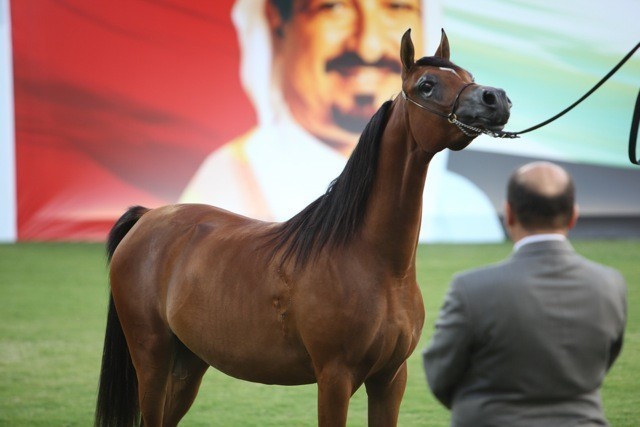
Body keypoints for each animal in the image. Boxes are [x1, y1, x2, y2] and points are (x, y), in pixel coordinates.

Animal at [95, 29, 511, 427]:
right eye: (427, 84)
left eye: (467, 76)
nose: (497, 99)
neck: (376, 264)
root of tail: (148, 217)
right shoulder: (334, 378)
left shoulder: (391, 379)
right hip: (152, 358)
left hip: (189, 363)